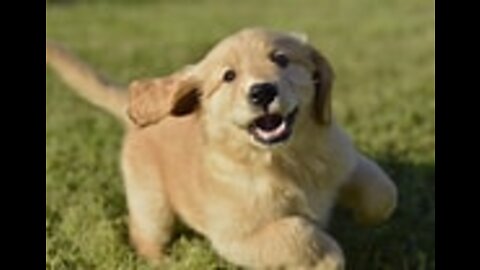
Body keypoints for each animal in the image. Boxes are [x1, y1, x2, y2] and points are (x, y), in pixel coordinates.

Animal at [47, 28, 398, 268]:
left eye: (281, 59)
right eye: (229, 76)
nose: (262, 92)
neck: (287, 159)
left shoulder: (344, 158)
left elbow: (383, 192)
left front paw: (365, 218)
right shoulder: (237, 236)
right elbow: (299, 232)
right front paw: (327, 258)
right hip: (151, 203)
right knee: (145, 235)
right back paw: (161, 262)